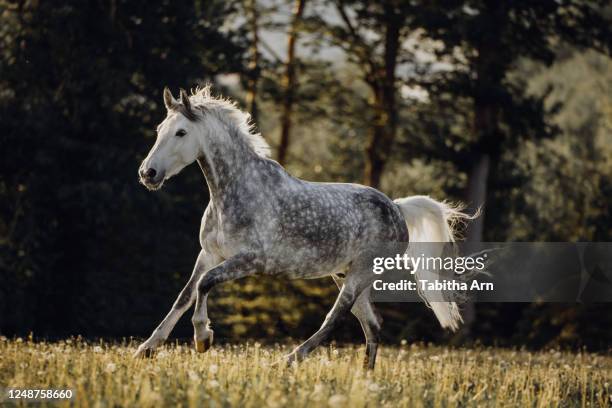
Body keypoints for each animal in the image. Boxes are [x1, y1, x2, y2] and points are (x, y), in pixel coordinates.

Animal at [134, 86, 468, 370]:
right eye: (159, 130)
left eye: (181, 132)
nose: (148, 173)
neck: (236, 191)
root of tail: (397, 208)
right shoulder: (208, 254)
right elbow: (185, 295)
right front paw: (147, 349)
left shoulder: (251, 260)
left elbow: (205, 284)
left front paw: (203, 339)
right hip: (345, 274)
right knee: (372, 324)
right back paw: (365, 378)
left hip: (359, 274)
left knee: (334, 319)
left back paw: (287, 361)